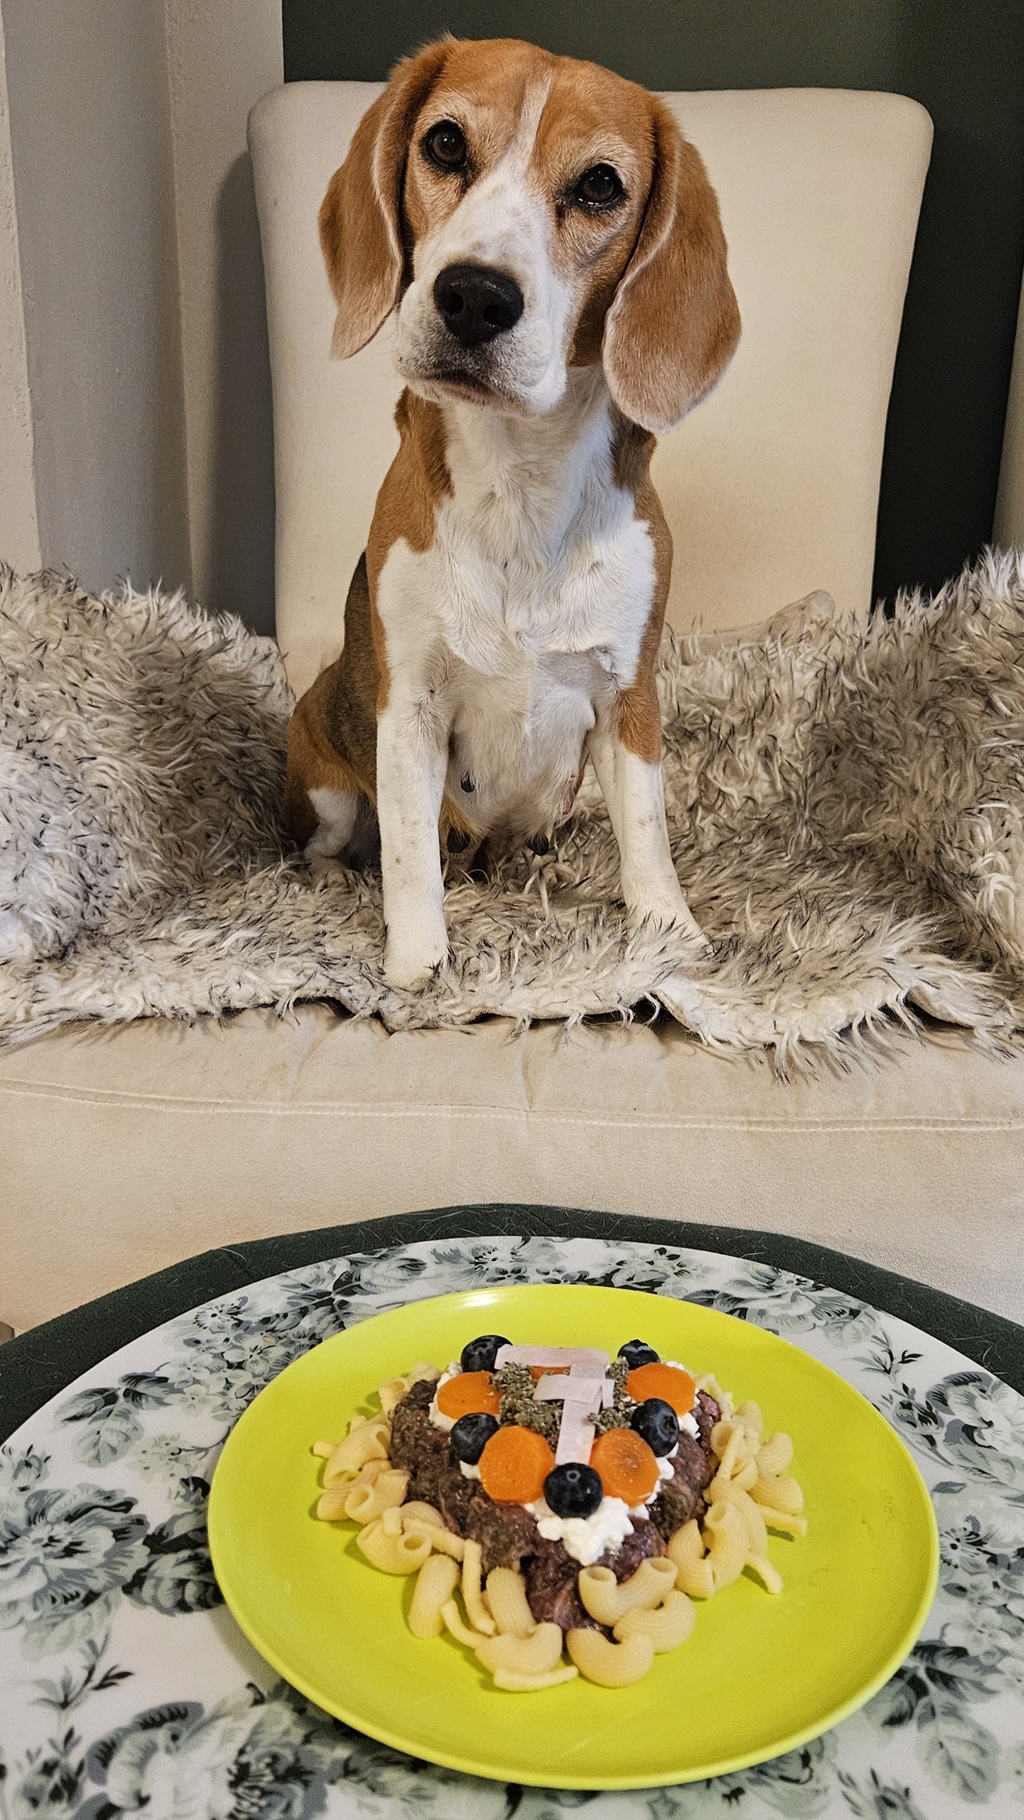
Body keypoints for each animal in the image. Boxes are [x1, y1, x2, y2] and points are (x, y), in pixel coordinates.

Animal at [284, 36, 740, 987]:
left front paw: (670, 937)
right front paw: (418, 967)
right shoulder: (409, 708)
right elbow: (410, 852)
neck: (521, 481)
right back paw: (330, 881)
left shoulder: (631, 696)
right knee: (337, 841)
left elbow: (648, 835)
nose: (475, 296)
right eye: (445, 143)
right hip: (328, 780)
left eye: (600, 185)